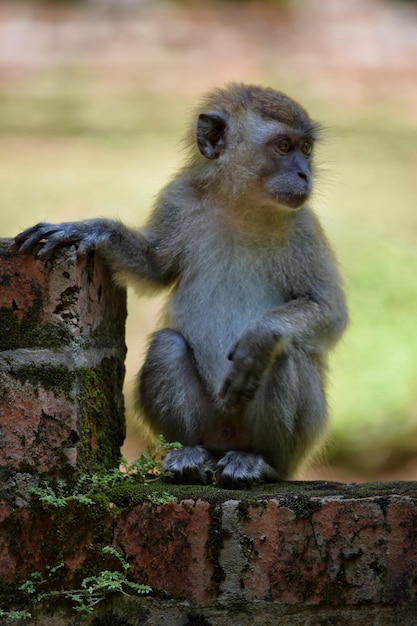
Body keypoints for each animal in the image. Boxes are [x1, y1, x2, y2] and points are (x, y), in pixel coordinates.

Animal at [13, 83, 344, 490]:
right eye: (284, 146)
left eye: (306, 148)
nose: (303, 174)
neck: (241, 204)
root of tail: (225, 441)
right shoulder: (178, 198)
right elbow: (155, 269)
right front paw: (92, 230)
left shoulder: (304, 226)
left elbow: (328, 312)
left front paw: (260, 335)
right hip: (209, 424)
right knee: (167, 345)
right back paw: (189, 455)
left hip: (294, 445)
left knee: (284, 354)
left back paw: (258, 461)